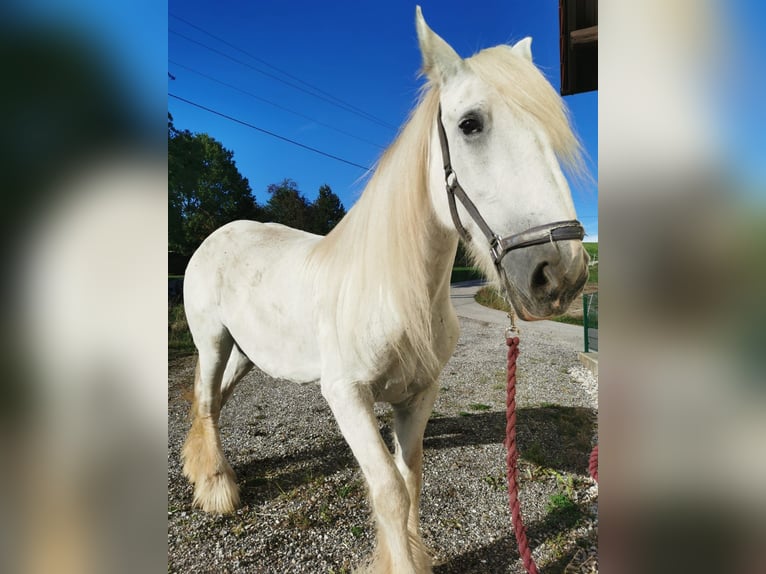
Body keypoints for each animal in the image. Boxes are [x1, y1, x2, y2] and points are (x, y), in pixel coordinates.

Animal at [180, 7, 589, 573]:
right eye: (469, 124)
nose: (561, 274)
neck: (396, 293)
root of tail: (216, 236)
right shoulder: (346, 395)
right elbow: (391, 491)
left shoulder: (419, 394)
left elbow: (411, 478)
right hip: (214, 341)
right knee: (204, 401)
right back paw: (218, 487)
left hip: (246, 352)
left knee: (215, 403)